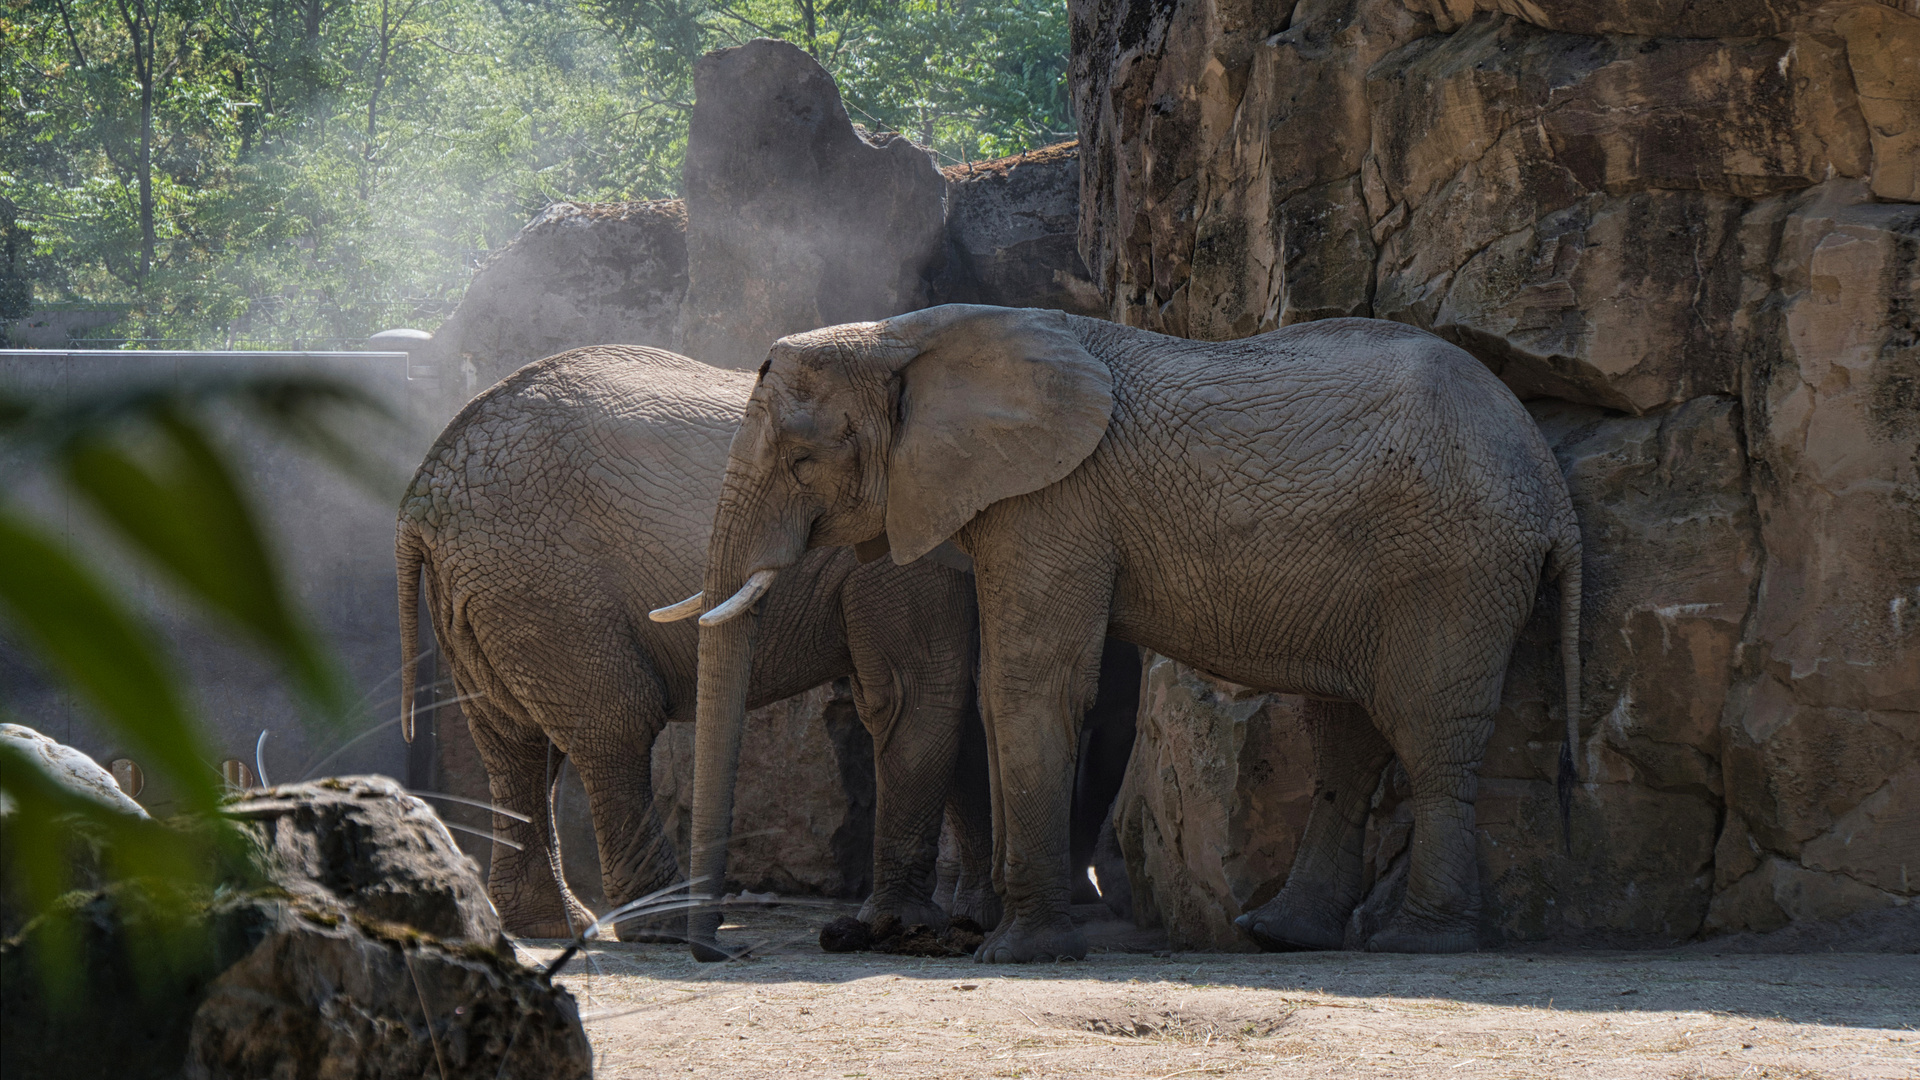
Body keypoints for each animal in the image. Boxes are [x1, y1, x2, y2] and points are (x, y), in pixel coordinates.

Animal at [387, 342, 990, 933]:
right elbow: (922, 692)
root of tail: (422, 487)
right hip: (541, 579)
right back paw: (661, 922)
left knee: (519, 742)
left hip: (485, 586)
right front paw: (937, 923)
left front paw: (969, 917)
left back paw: (550, 925)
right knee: (616, 725)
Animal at [668, 305, 1582, 957]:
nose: (718, 953)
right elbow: (1003, 691)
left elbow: (1030, 683)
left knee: (1428, 735)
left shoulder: (1056, 499)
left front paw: (1018, 953)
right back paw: (1282, 935)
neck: (909, 334)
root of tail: (1551, 488)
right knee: (1349, 736)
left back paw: (1416, 941)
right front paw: (1002, 937)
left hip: (1456, 569)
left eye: (801, 461)